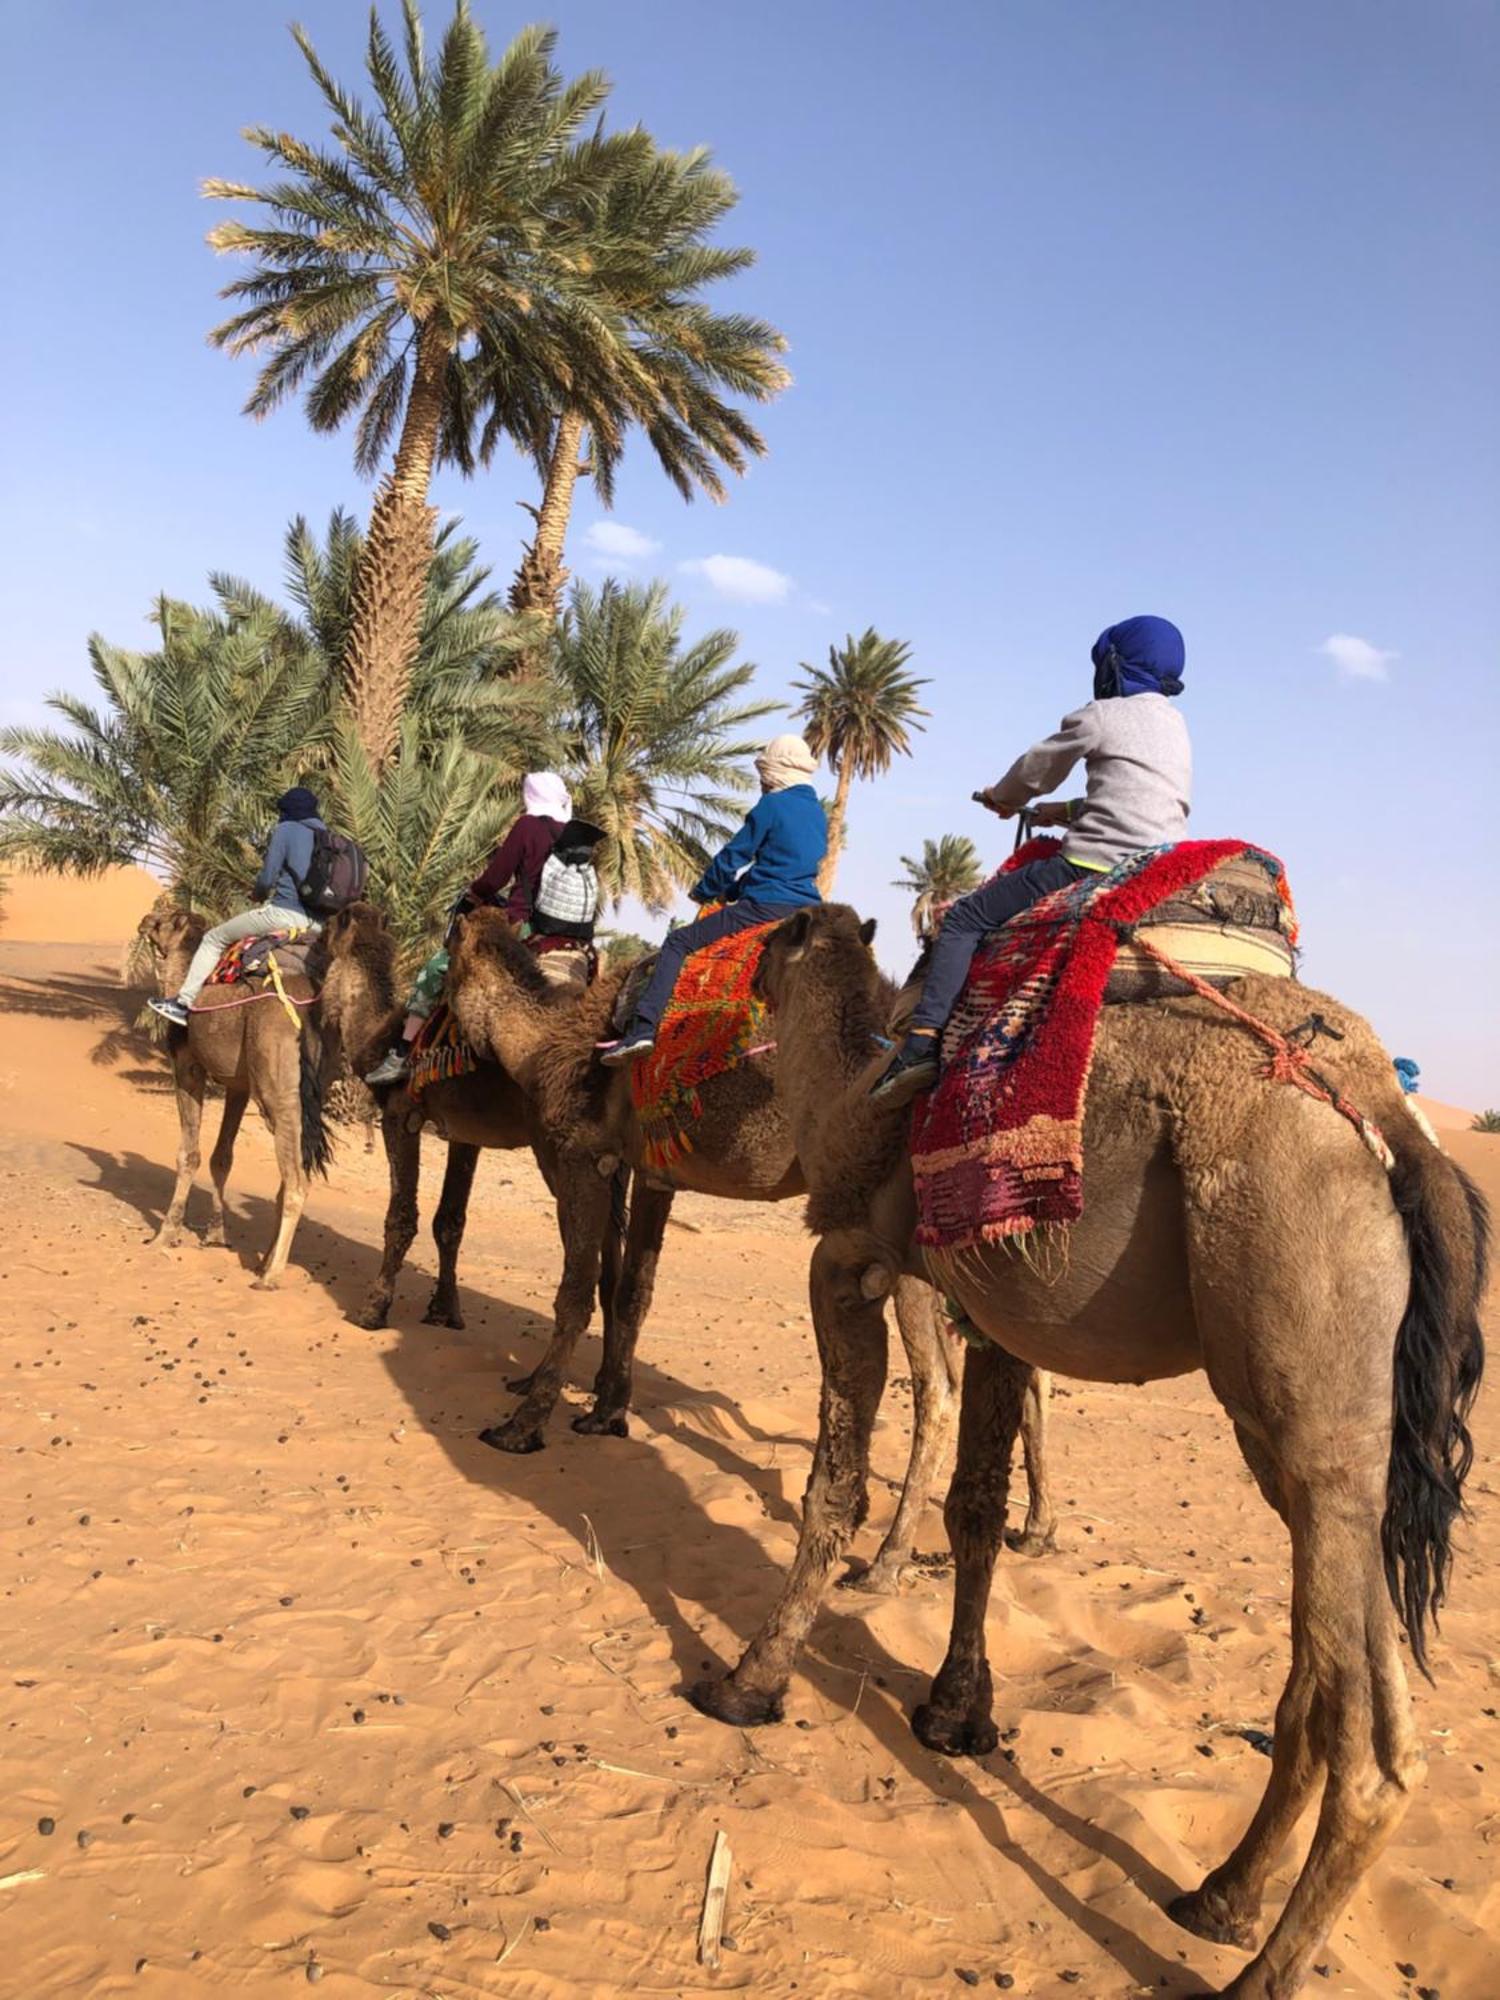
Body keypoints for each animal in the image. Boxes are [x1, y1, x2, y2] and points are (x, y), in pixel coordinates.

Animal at [139, 904, 396, 1288]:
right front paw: (216, 1235)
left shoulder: (187, 1066)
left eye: (163, 920)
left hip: (277, 1089)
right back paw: (264, 1262)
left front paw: (163, 1236)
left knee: (297, 1180)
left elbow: (190, 1154)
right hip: (308, 1084)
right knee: (291, 1175)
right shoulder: (239, 1084)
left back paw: (271, 1274)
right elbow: (222, 1157)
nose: (144, 921)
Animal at [446, 908, 1056, 1592]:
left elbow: (574, 1292)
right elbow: (630, 1291)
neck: (545, 1040)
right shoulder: (651, 1173)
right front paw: (604, 1411)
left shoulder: (581, 1153)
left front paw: (521, 1425)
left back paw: (885, 1563)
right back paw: (1034, 1530)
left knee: (940, 1390)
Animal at [692, 908, 1496, 2000]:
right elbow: (975, 1506)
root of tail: (1394, 1125)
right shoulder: (990, 1304)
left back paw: (1257, 1971)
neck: (846, 1075)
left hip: (1305, 1318)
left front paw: (749, 1680)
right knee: (1337, 1672)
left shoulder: (849, 1257)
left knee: (1368, 1745)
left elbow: (834, 1487)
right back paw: (1218, 1895)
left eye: (772, 936)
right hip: (1315, 1421)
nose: (740, 970)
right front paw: (959, 1714)